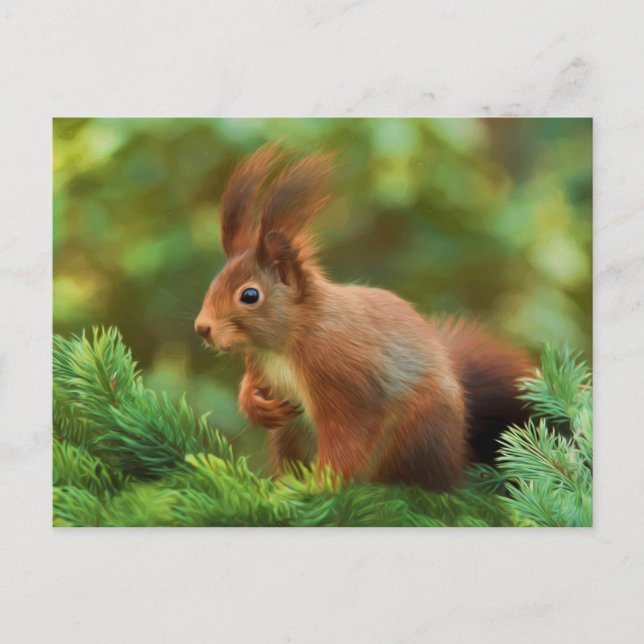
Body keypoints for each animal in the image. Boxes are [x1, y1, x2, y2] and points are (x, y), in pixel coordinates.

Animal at [195, 145, 533, 491]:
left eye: (250, 295)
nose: (202, 328)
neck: (285, 344)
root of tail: (457, 456)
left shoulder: (342, 375)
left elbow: (348, 436)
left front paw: (321, 487)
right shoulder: (260, 364)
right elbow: (252, 386)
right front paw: (256, 405)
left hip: (418, 427)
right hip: (289, 434)